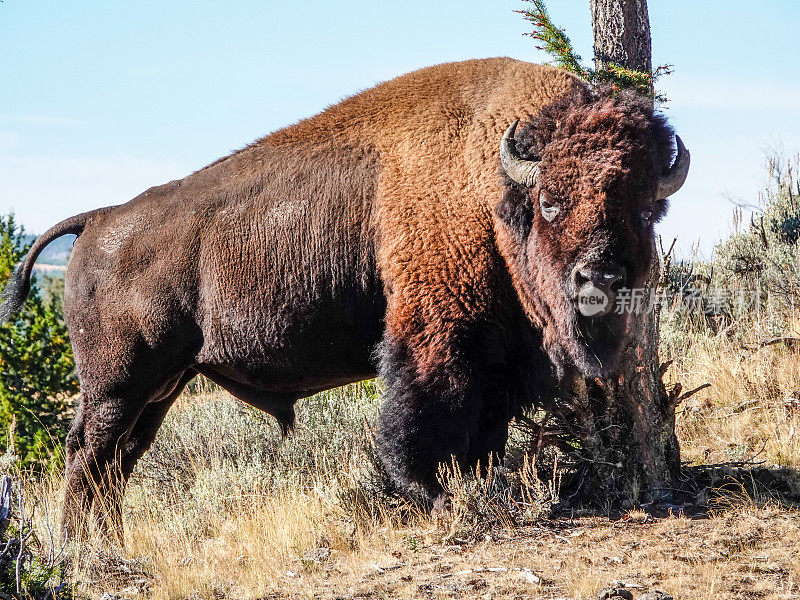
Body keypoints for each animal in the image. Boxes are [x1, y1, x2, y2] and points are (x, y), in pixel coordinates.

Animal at [0, 56, 688, 536]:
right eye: (550, 203)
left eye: (646, 209)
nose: (600, 280)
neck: (490, 186)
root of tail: (100, 219)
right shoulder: (433, 335)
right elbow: (424, 413)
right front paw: (435, 496)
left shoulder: (501, 359)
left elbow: (483, 428)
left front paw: (475, 486)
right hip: (117, 384)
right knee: (89, 455)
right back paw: (81, 546)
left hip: (160, 386)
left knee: (118, 461)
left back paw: (105, 541)